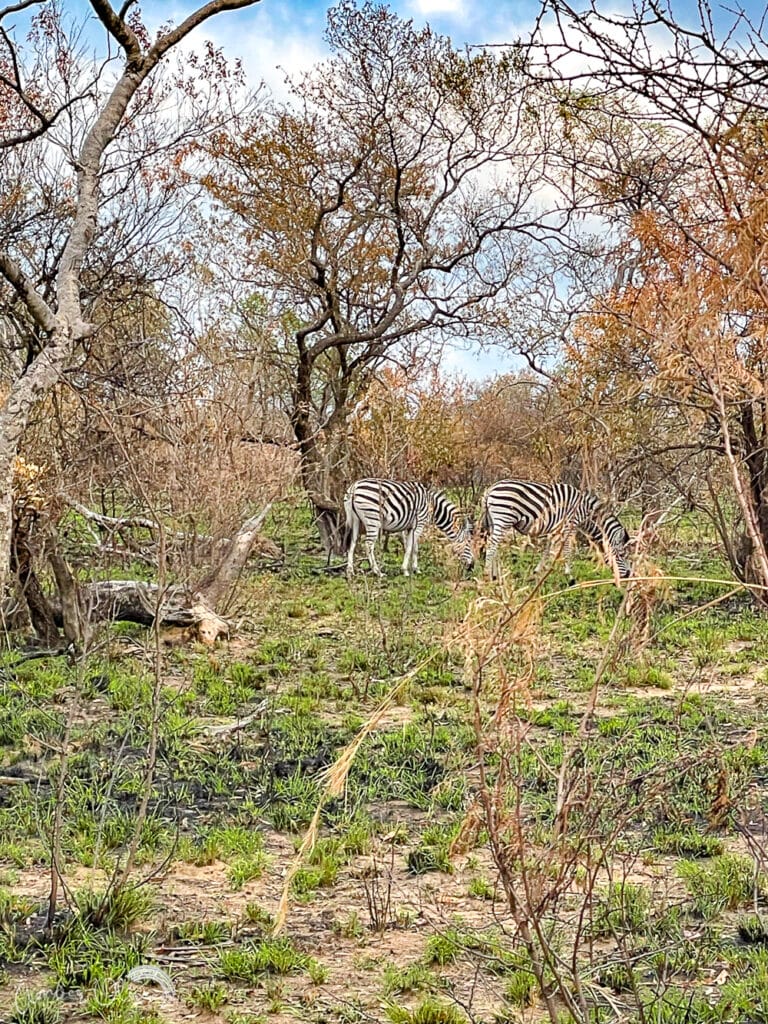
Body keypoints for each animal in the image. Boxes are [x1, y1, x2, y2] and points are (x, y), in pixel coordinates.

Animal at [344, 477, 475, 577]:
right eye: (468, 544)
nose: (472, 567)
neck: (432, 506)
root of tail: (354, 486)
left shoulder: (411, 527)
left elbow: (415, 548)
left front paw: (416, 569)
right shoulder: (419, 523)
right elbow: (409, 547)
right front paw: (405, 570)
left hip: (356, 520)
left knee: (352, 543)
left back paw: (350, 572)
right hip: (373, 519)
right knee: (368, 545)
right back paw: (378, 572)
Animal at [481, 479, 630, 585]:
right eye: (622, 554)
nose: (628, 575)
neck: (585, 511)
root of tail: (491, 489)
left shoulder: (554, 529)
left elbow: (547, 550)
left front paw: (536, 573)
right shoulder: (569, 525)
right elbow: (567, 551)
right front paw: (570, 577)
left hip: (495, 522)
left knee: (494, 546)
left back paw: (495, 576)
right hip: (504, 518)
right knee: (492, 545)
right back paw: (487, 575)